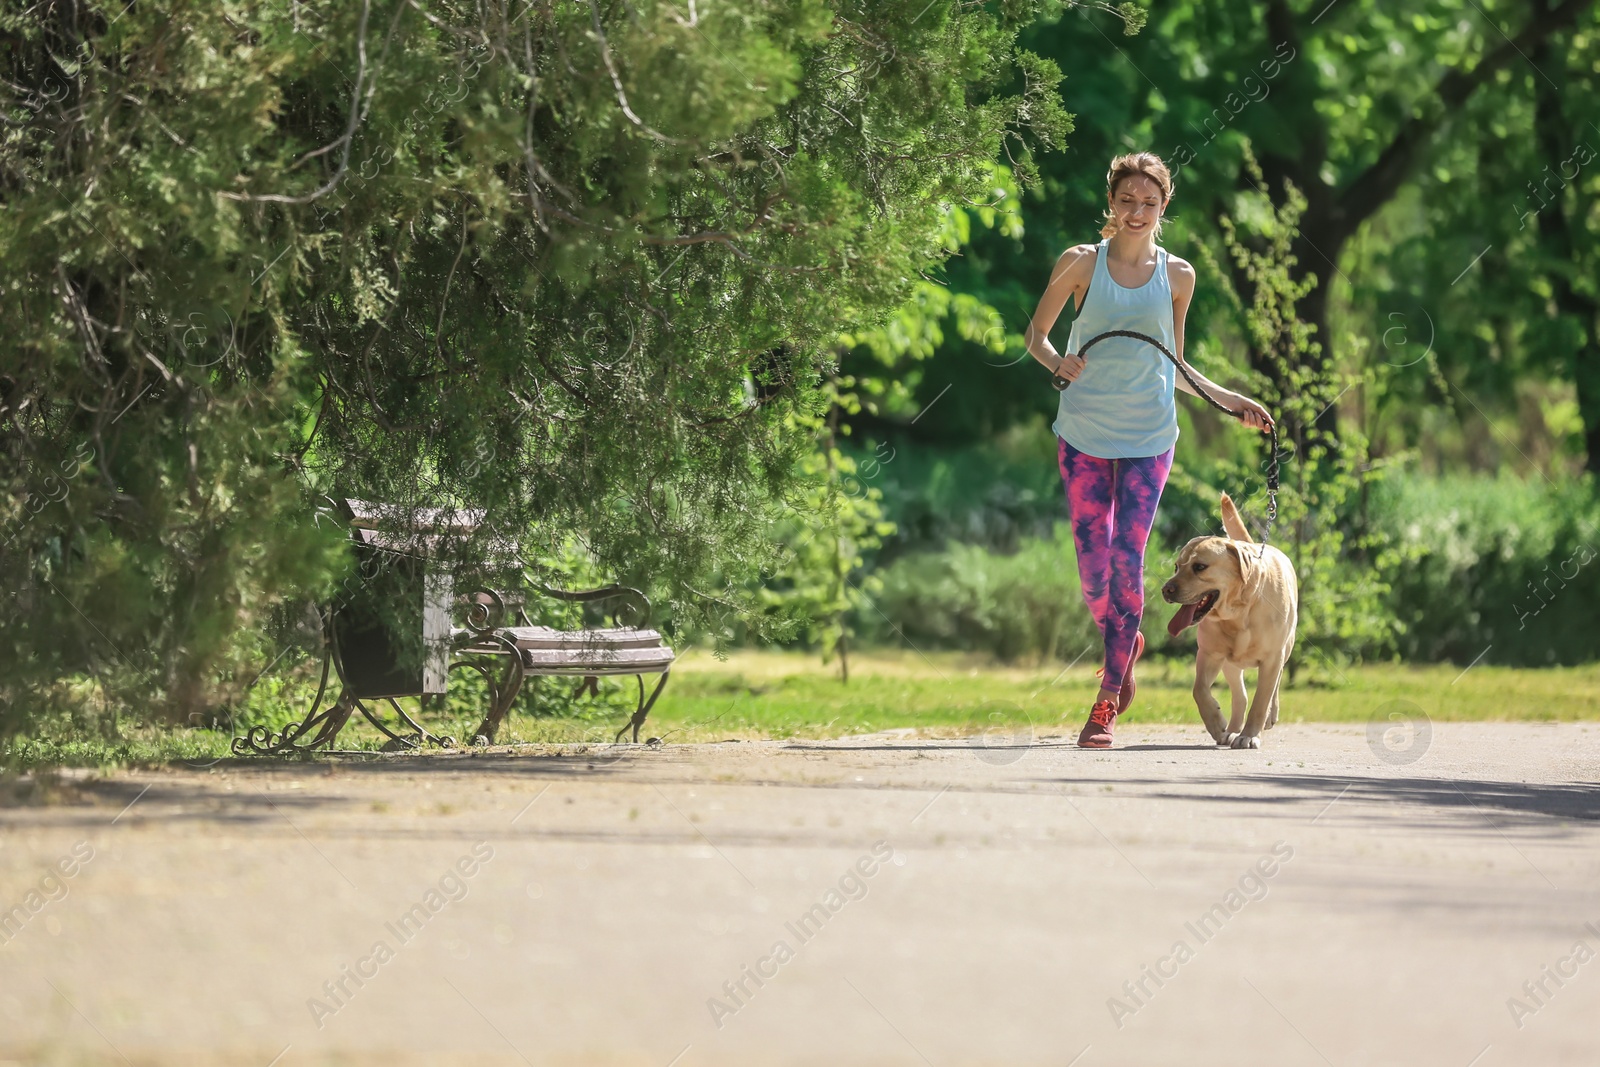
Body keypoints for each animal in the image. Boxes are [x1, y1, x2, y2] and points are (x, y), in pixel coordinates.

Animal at [1164, 495, 1299, 751]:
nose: (1166, 590)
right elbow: (1199, 690)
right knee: (1240, 696)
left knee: (1273, 687)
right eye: (1176, 567)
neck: (1238, 612)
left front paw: (1250, 735)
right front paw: (1217, 724)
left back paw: (1267, 717)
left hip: (1285, 648)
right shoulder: (1209, 653)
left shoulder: (1272, 658)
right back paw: (1232, 731)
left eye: (1199, 567)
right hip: (1230, 664)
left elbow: (1261, 700)